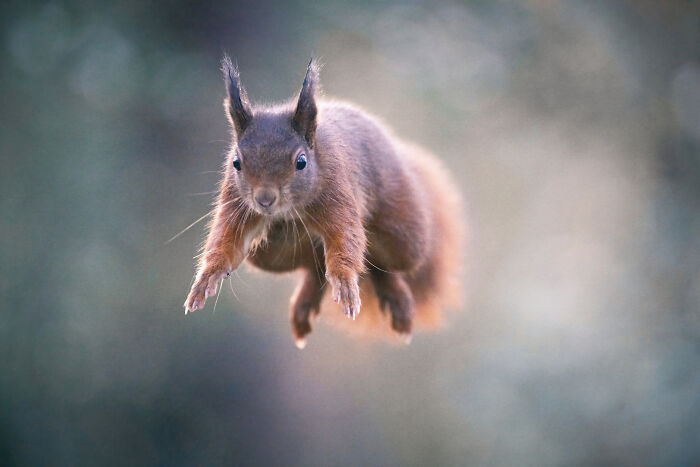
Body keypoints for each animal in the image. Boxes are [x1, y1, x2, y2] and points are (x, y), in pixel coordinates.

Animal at [184, 57, 463, 347]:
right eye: (236, 162)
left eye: (301, 162)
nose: (264, 199)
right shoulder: (236, 203)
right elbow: (226, 243)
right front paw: (205, 281)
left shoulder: (338, 192)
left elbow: (346, 241)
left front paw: (345, 283)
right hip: (273, 254)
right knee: (315, 267)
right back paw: (304, 307)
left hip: (404, 235)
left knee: (381, 263)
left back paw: (398, 302)